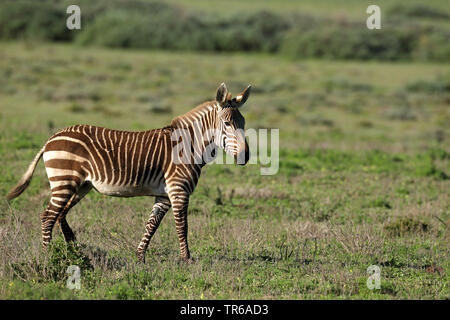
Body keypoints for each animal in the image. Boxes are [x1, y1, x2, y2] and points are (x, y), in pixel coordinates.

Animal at [7, 82, 251, 262]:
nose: (245, 157)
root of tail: (52, 138)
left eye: (243, 123)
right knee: (48, 216)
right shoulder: (178, 189)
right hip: (64, 180)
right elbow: (182, 224)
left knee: (60, 215)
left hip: (81, 185)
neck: (188, 145)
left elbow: (152, 224)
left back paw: (75, 250)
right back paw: (48, 257)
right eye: (227, 124)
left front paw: (140, 256)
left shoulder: (164, 194)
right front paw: (187, 259)